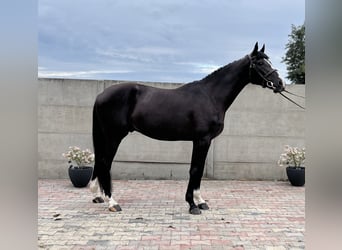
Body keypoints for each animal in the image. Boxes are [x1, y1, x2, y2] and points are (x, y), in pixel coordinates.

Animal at [89, 43, 284, 215]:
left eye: (269, 61)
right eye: (260, 63)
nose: (280, 83)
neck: (210, 96)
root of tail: (100, 95)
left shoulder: (204, 141)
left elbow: (199, 169)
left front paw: (201, 201)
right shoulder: (201, 140)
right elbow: (195, 170)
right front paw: (192, 205)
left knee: (100, 161)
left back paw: (100, 196)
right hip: (114, 136)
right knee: (105, 163)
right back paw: (112, 203)